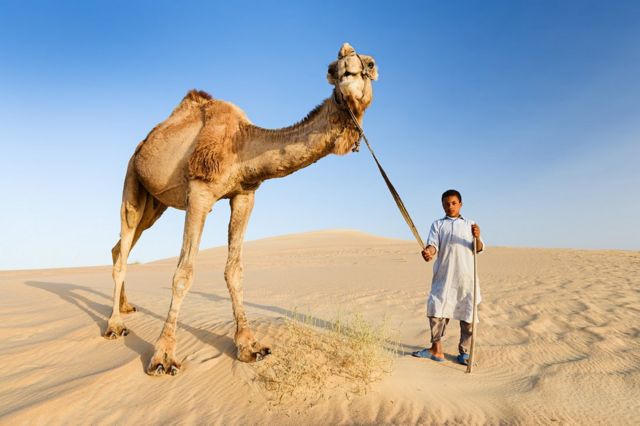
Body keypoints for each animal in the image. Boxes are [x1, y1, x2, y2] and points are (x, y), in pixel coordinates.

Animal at [104, 43, 376, 376]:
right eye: (332, 68)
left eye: (370, 64)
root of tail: (142, 144)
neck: (241, 144)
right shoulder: (200, 193)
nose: (349, 68)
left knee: (120, 247)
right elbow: (184, 273)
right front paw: (163, 356)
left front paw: (250, 346)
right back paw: (114, 325)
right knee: (125, 239)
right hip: (132, 177)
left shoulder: (244, 195)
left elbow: (234, 270)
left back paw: (126, 306)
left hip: (156, 204)